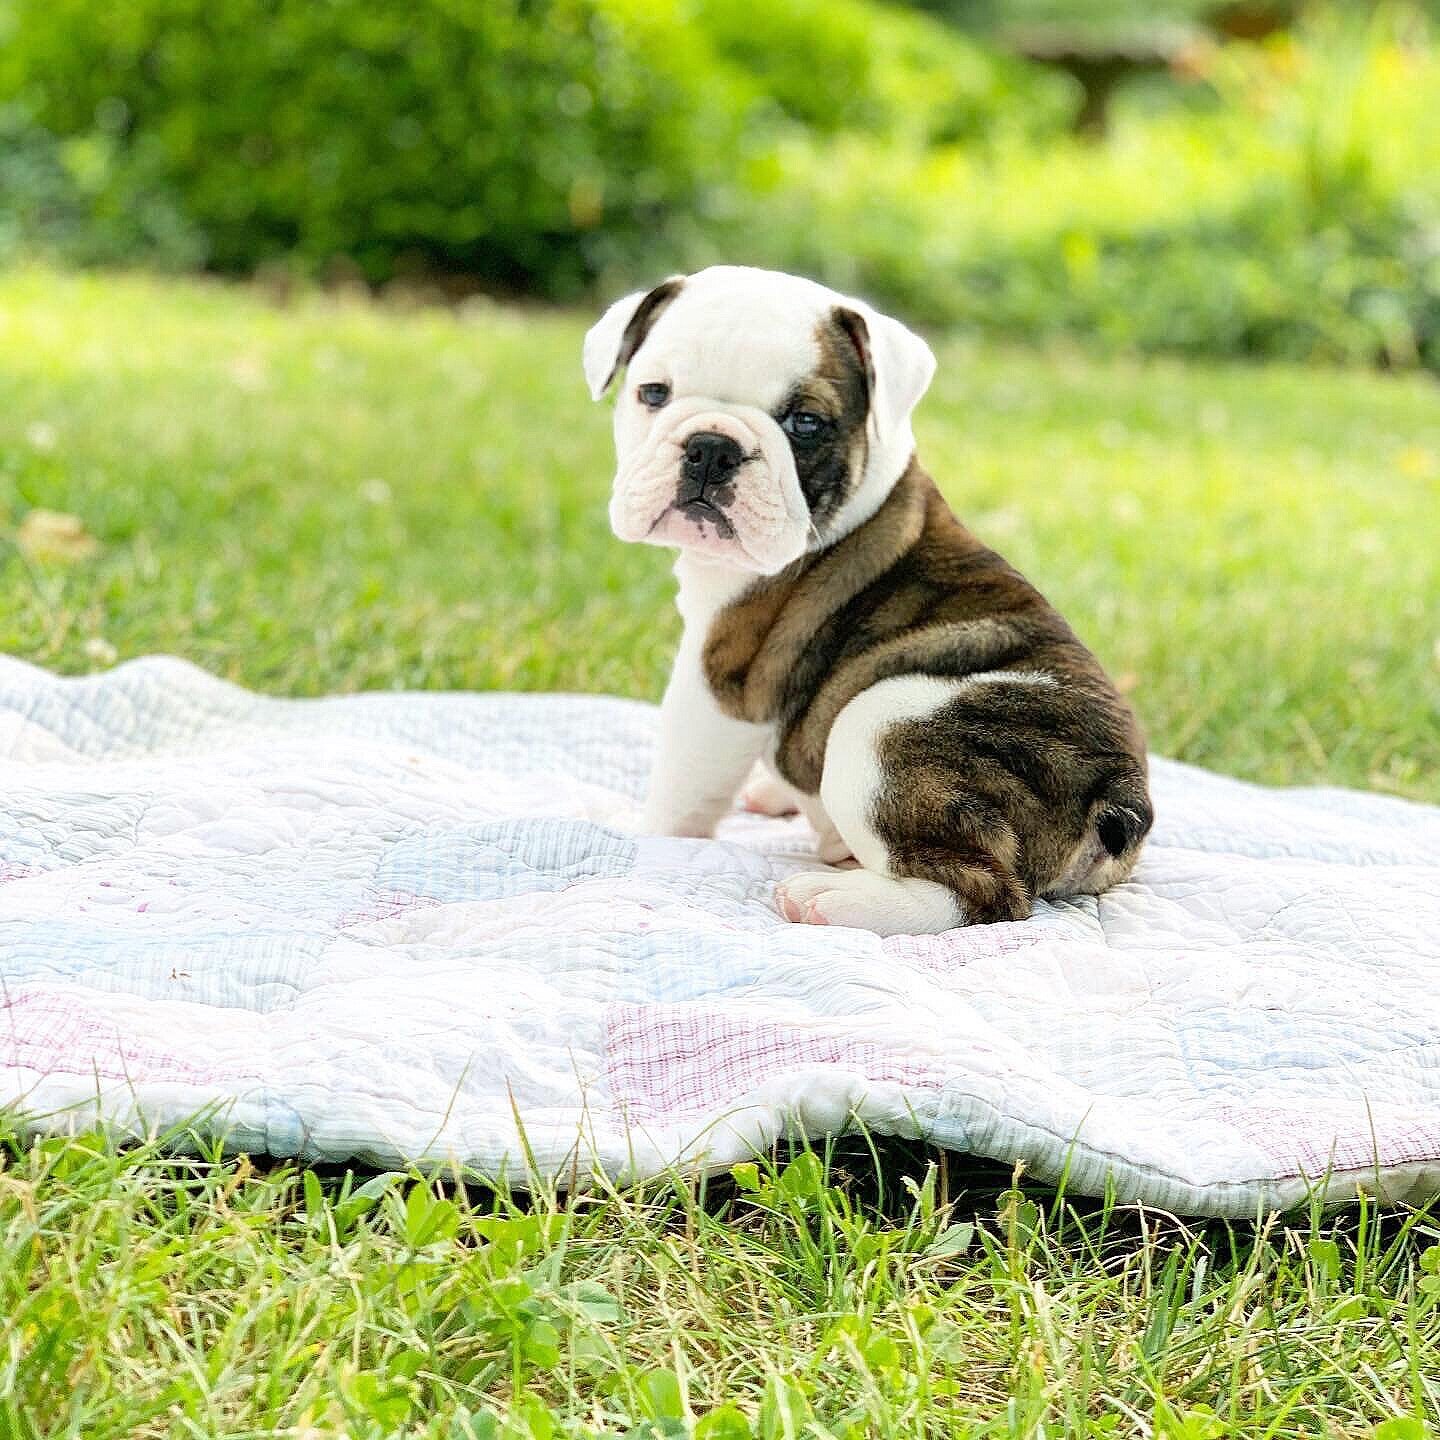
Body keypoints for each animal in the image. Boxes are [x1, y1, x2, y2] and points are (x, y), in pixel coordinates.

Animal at [578, 266, 1152, 938]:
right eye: (653, 393)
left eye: (806, 423)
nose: (712, 447)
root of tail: (1117, 793)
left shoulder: (719, 682)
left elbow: (680, 782)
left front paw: (648, 832)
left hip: (881, 721)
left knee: (985, 890)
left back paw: (832, 897)